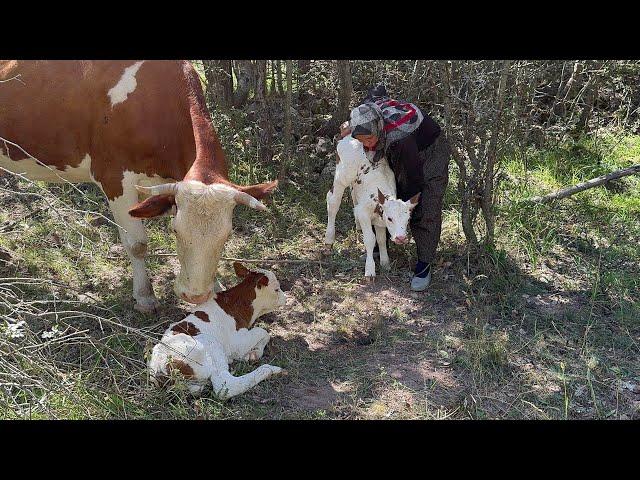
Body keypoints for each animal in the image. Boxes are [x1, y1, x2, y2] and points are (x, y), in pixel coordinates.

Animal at [0, 60, 276, 312]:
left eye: (227, 235)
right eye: (175, 231)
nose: (195, 296)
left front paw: (216, 287)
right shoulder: (114, 178)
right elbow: (137, 245)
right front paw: (144, 297)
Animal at [148, 262, 288, 398]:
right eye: (277, 289)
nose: (286, 298)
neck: (237, 304)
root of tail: (161, 368)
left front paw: (253, 353)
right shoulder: (237, 342)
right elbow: (263, 332)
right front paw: (255, 353)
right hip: (209, 344)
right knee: (225, 386)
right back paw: (271, 370)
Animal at [324, 134, 420, 278]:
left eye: (407, 219)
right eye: (390, 218)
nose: (401, 238)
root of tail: (349, 137)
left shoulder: (379, 220)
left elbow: (381, 239)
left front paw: (385, 263)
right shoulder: (364, 213)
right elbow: (370, 239)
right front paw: (370, 269)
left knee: (353, 195)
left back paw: (357, 225)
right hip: (342, 176)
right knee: (333, 201)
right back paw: (329, 238)